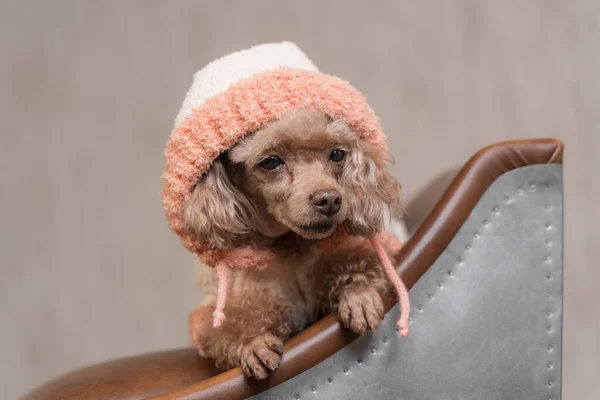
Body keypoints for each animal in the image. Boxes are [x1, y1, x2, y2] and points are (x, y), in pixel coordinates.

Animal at [186, 108, 404, 380]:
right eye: (270, 161)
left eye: (337, 155)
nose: (329, 200)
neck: (289, 245)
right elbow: (231, 323)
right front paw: (252, 342)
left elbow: (354, 263)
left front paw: (358, 294)